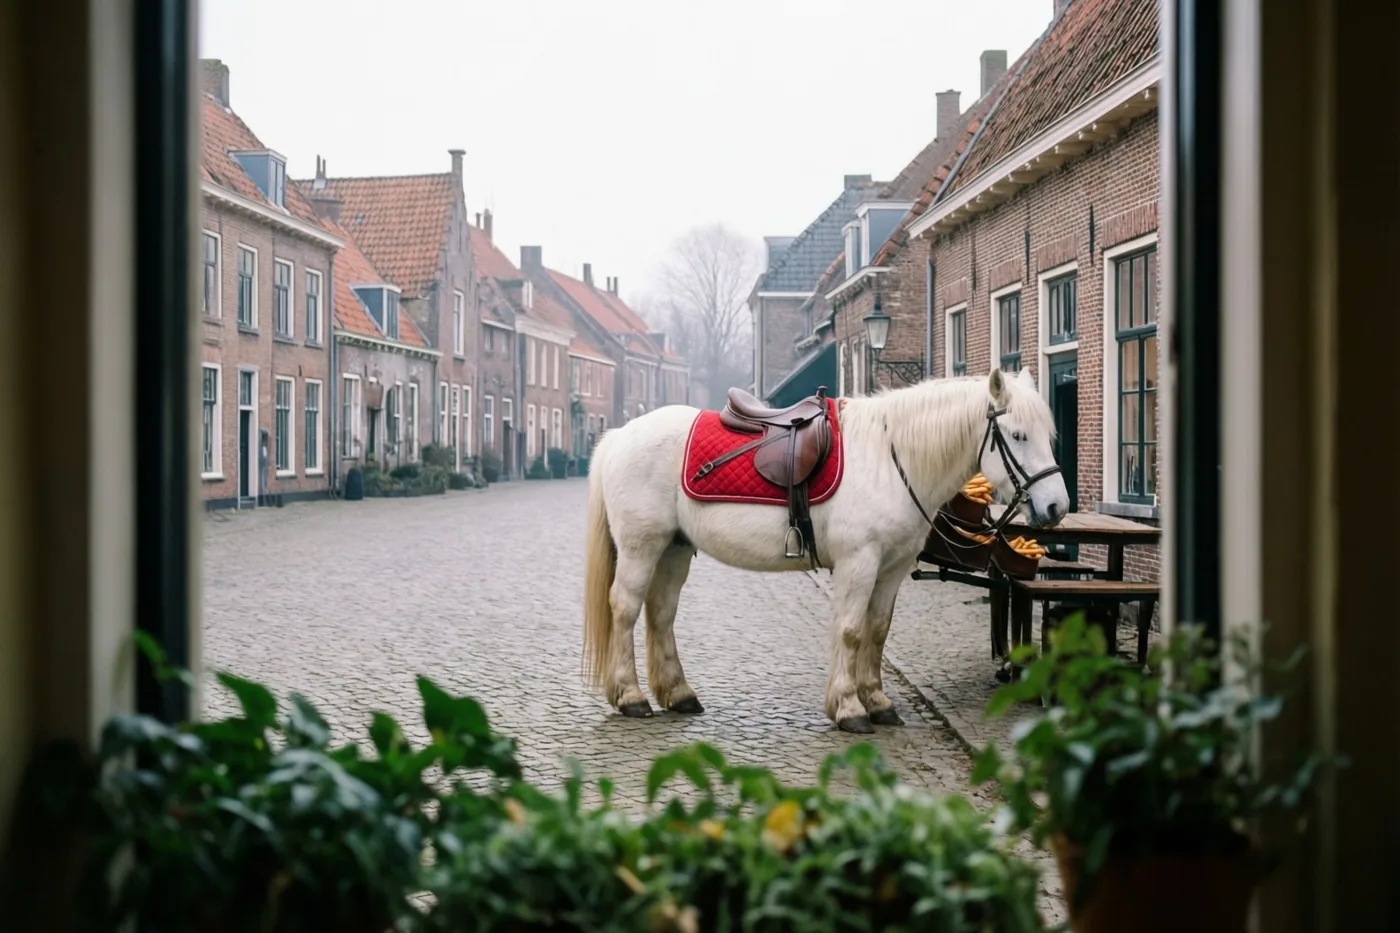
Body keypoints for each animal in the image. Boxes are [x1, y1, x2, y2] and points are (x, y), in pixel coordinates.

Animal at [582, 368, 1070, 733]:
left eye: (1048, 433)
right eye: (1018, 435)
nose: (1056, 507)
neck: (891, 458)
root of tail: (619, 436)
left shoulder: (891, 568)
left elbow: (877, 631)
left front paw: (878, 702)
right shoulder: (859, 563)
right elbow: (851, 631)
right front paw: (849, 708)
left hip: (674, 549)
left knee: (661, 613)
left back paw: (678, 694)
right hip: (642, 547)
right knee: (625, 609)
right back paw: (631, 697)